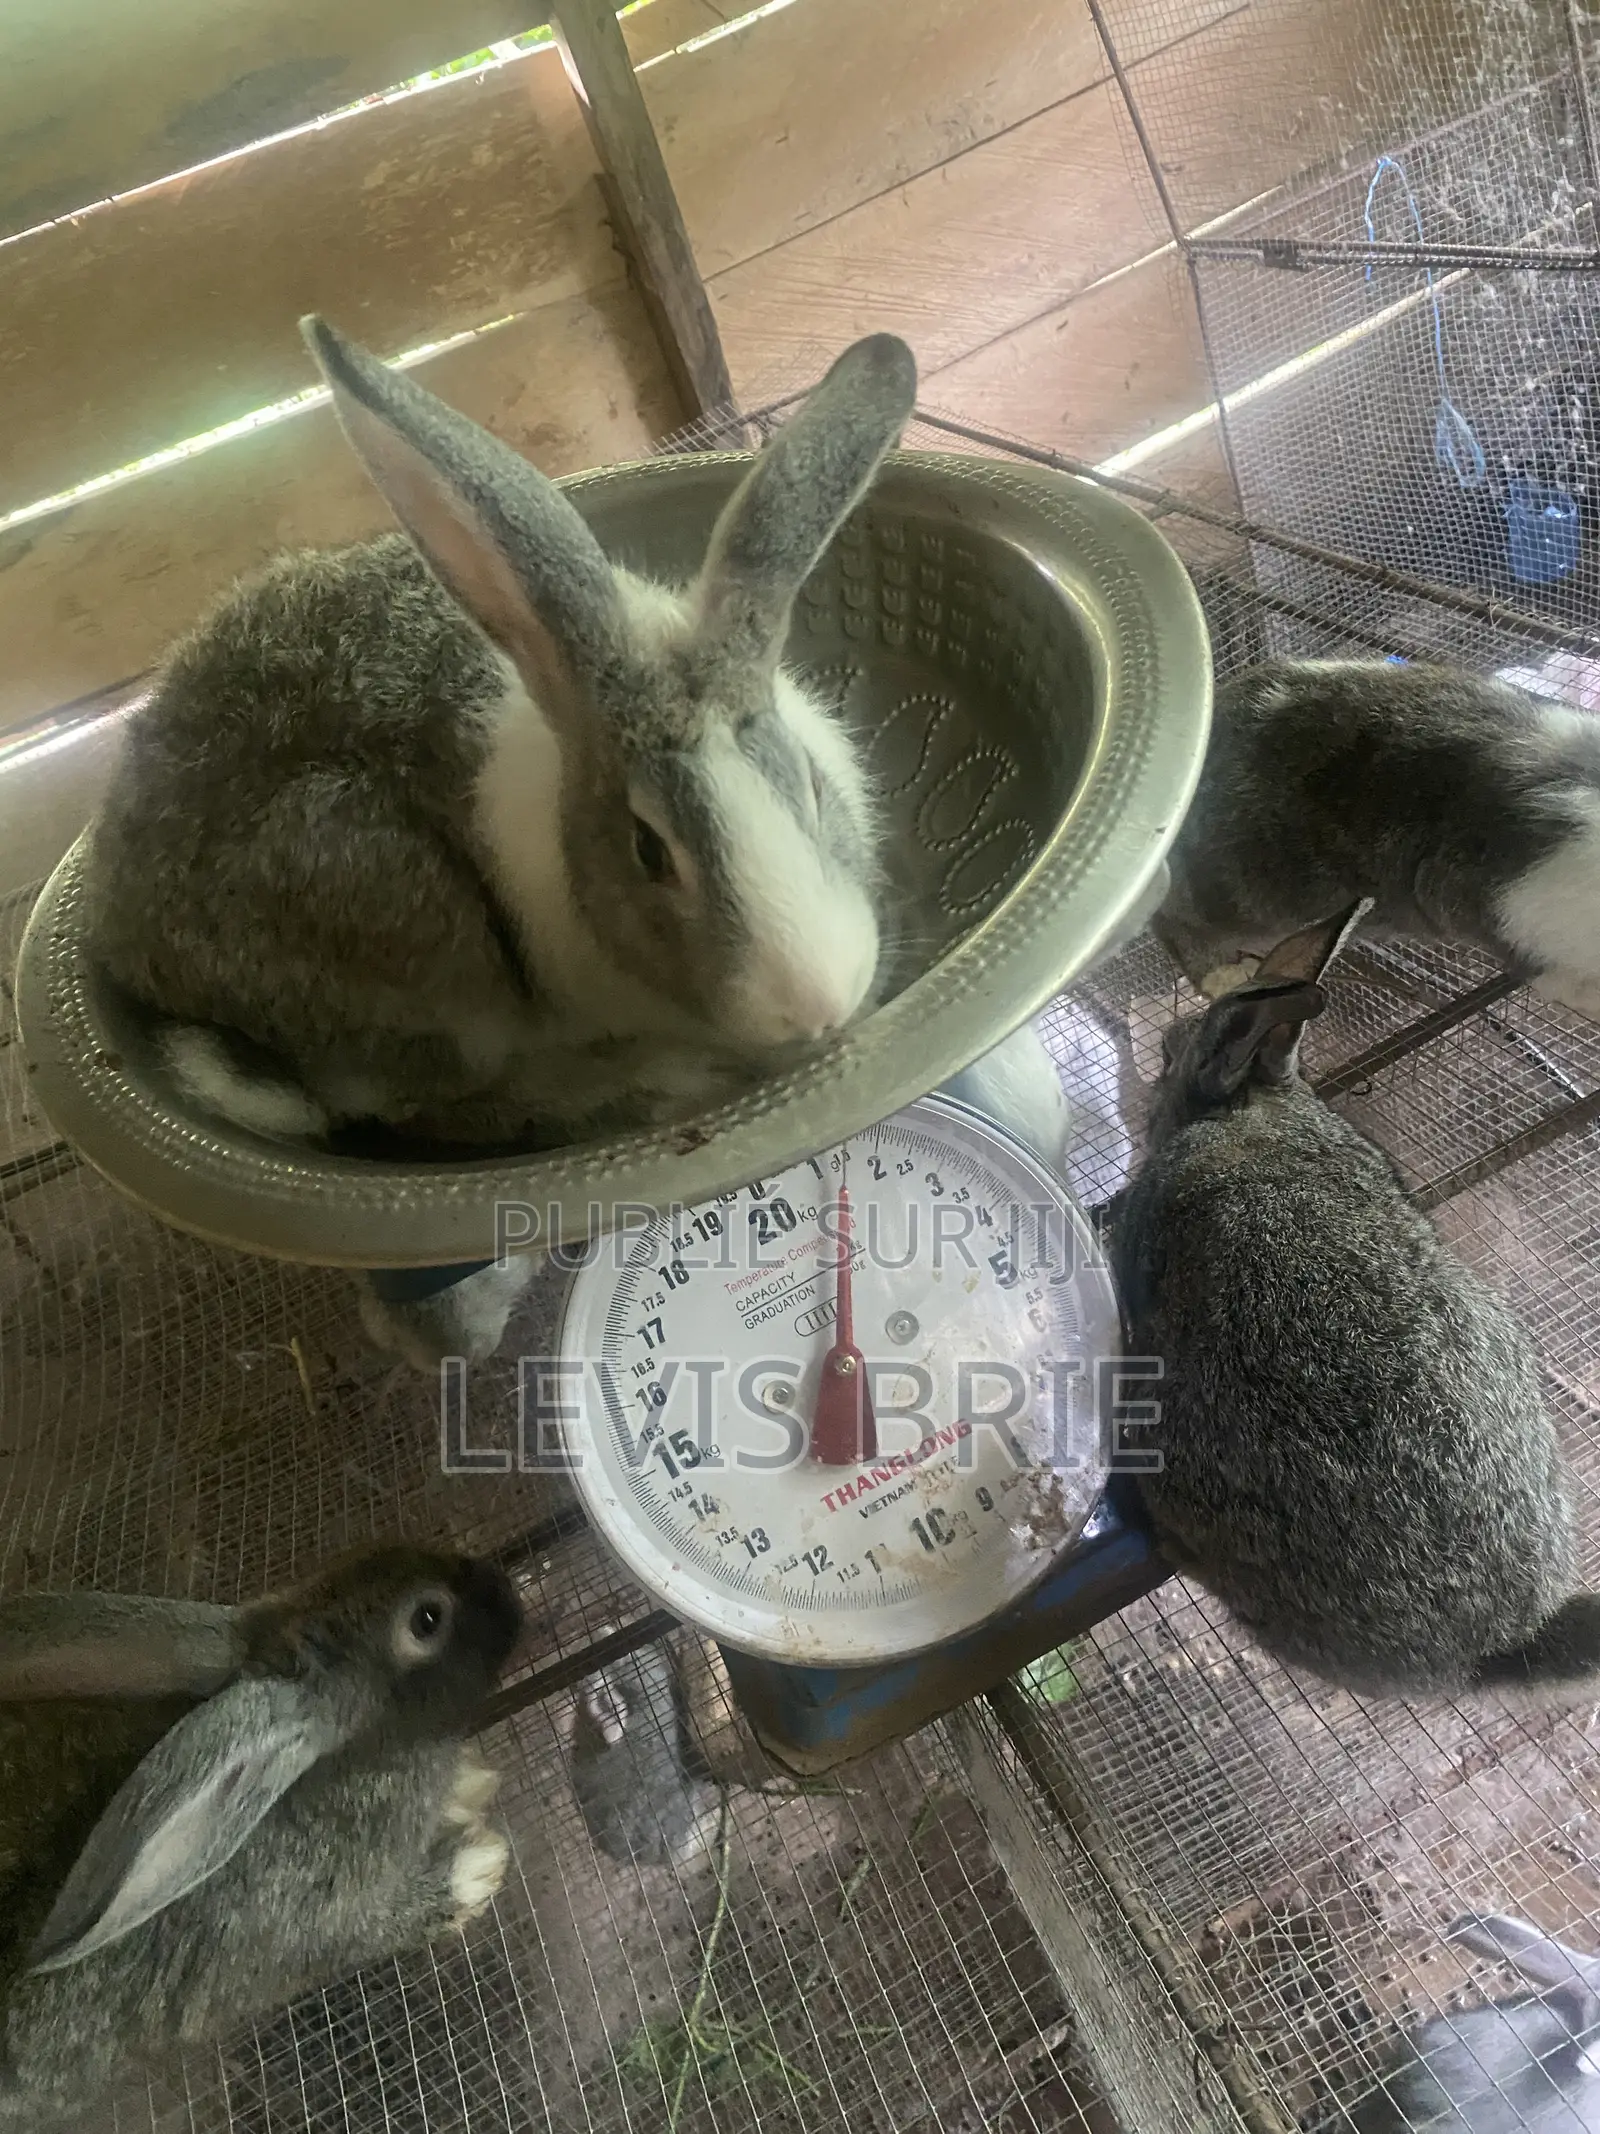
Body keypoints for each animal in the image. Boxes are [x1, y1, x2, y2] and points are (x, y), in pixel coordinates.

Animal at [0, 1544, 523, 2125]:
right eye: (427, 1619)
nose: (506, 1590)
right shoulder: (316, 1928)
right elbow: (378, 1926)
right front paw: (476, 1868)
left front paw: (470, 1782)